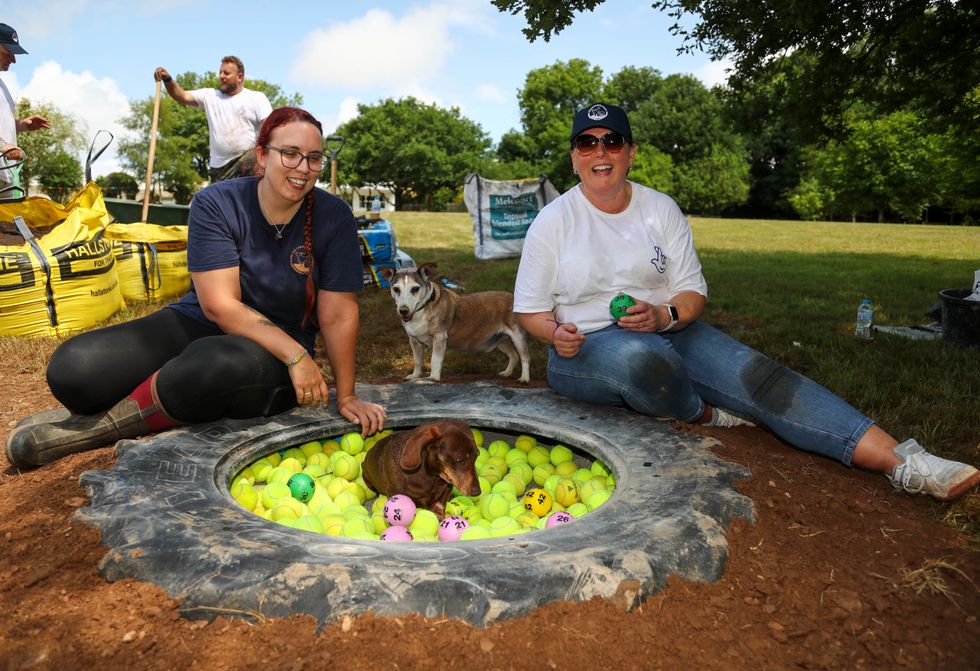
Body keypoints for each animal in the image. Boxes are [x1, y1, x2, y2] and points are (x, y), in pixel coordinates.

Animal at [378, 266, 528, 386]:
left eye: (415, 289)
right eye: (396, 289)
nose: (403, 310)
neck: (422, 309)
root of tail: (514, 298)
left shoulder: (439, 338)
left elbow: (435, 360)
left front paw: (433, 378)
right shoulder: (414, 340)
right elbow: (417, 360)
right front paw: (415, 375)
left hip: (517, 337)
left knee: (525, 357)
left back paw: (524, 379)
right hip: (501, 340)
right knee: (514, 356)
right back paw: (506, 373)